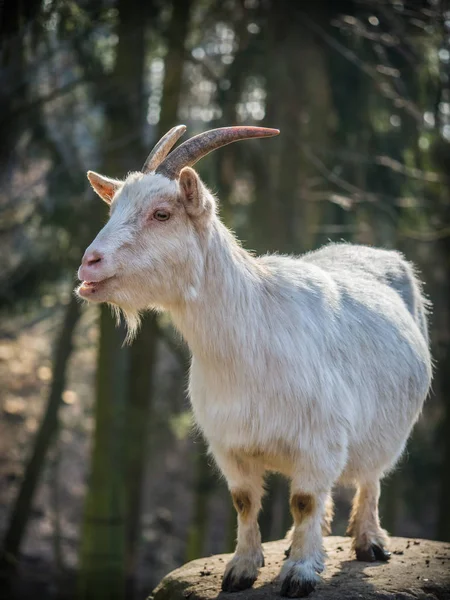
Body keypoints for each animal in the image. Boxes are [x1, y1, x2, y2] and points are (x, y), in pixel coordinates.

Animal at [77, 124, 432, 596]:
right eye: (113, 208)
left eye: (162, 214)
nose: (88, 265)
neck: (251, 337)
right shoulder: (229, 444)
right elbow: (245, 501)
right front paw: (242, 569)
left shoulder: (319, 441)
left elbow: (304, 500)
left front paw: (299, 572)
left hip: (387, 431)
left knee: (370, 478)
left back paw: (369, 541)